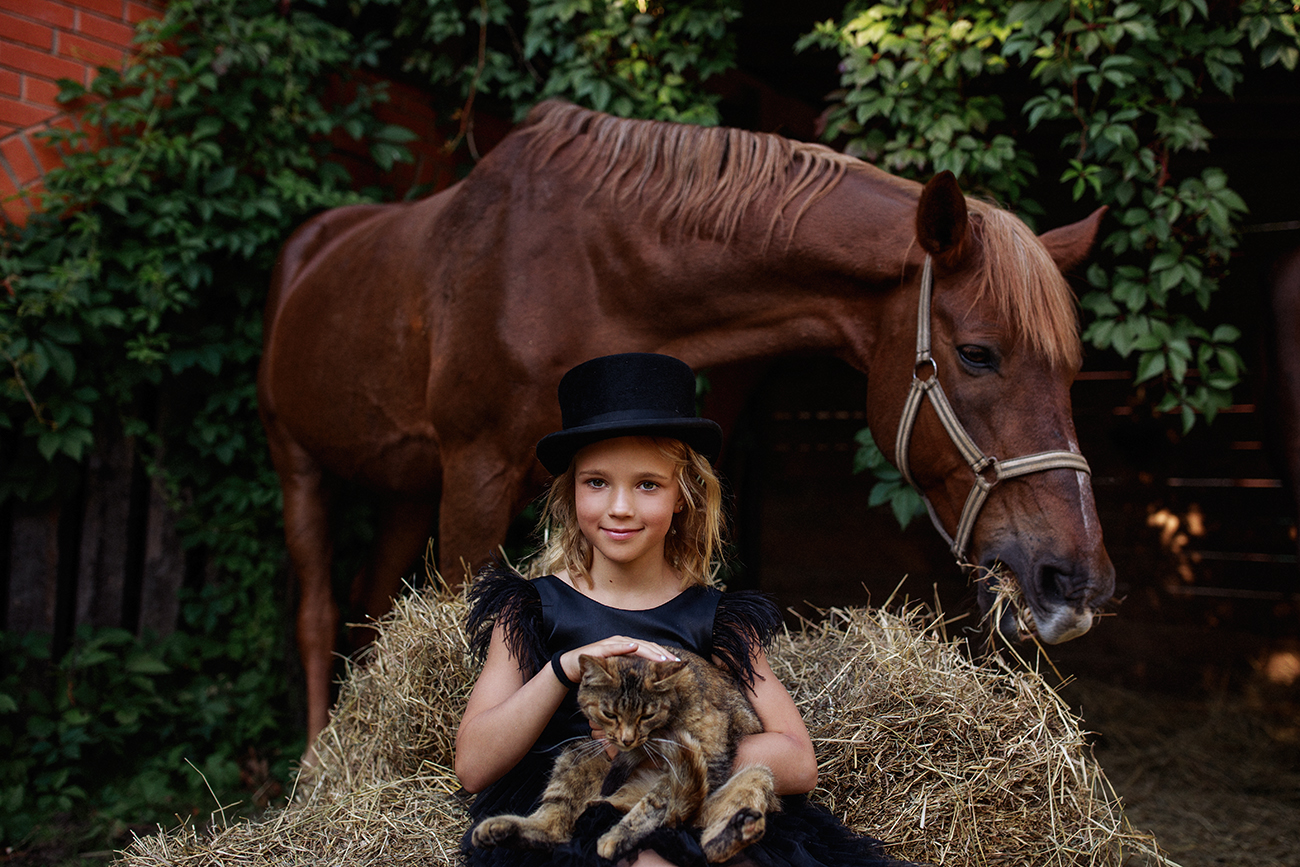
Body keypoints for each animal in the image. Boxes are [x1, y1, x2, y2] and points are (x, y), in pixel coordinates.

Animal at [256, 100, 1118, 738]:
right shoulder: (476, 475)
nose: (1077, 581)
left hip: (405, 488)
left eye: (1073, 368)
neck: (583, 270)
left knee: (368, 605)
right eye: (976, 353)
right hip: (299, 462)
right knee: (316, 613)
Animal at [473, 647, 774, 863]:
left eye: (647, 715)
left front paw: (618, 836)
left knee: (696, 839)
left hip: (758, 774)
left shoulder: (709, 756)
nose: (627, 739)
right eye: (609, 714)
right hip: (576, 754)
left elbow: (655, 803)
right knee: (555, 827)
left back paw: (738, 829)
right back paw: (499, 829)